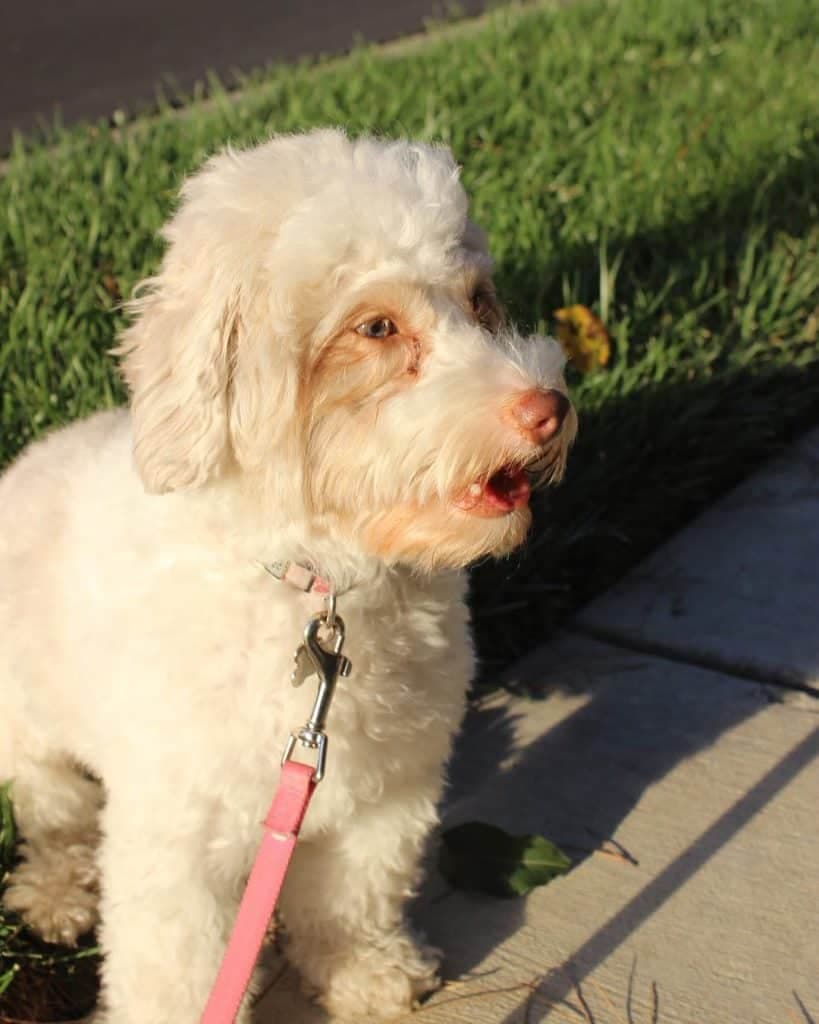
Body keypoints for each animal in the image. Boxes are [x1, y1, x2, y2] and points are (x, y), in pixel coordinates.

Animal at [0, 130, 577, 1024]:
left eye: (481, 301)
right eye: (376, 327)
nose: (548, 408)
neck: (318, 581)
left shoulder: (382, 795)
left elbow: (350, 897)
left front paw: (365, 973)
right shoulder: (174, 837)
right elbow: (172, 972)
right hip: (29, 732)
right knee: (52, 816)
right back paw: (57, 893)